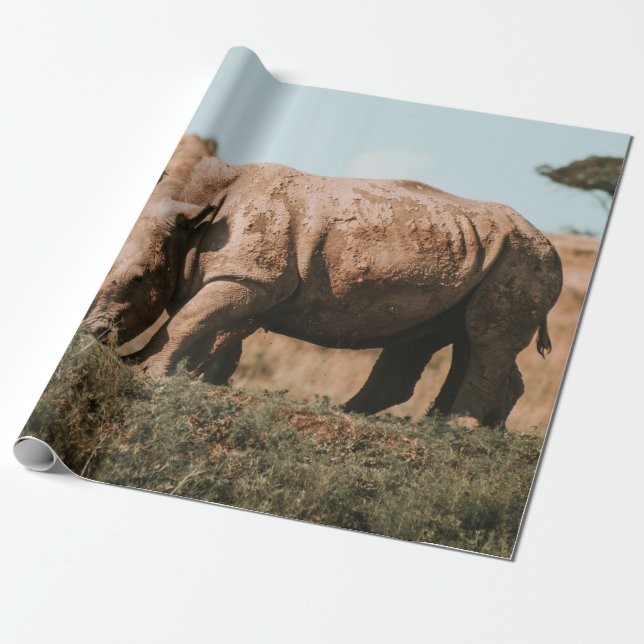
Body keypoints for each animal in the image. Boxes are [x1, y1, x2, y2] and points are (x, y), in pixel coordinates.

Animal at [83, 134, 563, 426]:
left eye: (139, 279)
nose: (94, 333)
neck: (200, 209)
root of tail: (549, 242)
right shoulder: (250, 281)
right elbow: (215, 331)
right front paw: (201, 380)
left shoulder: (252, 278)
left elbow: (188, 321)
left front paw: (146, 372)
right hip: (481, 253)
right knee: (442, 336)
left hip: (523, 259)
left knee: (483, 339)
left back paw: (456, 429)